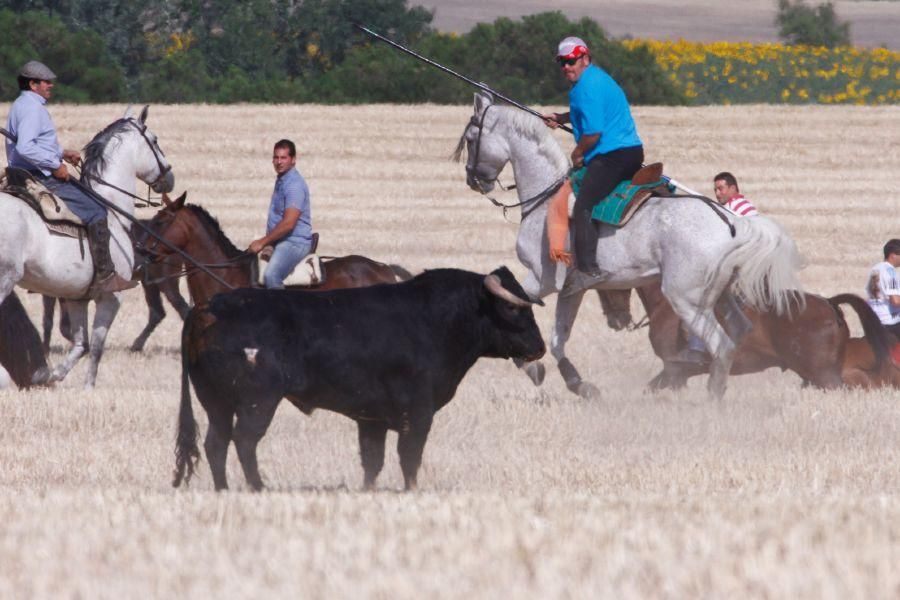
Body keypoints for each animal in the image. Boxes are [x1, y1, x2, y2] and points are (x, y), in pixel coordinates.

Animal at [0, 106, 173, 390]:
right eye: (155, 140)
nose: (169, 176)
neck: (111, 209)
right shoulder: (112, 297)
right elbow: (97, 346)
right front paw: (88, 388)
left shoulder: (76, 297)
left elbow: (81, 344)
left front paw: (53, 375)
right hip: (6, 279)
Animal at [172, 268, 544, 492]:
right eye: (513, 309)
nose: (539, 348)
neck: (438, 320)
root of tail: (209, 306)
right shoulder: (418, 413)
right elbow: (409, 455)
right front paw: (411, 491)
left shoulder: (372, 418)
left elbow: (372, 461)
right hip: (257, 402)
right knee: (245, 440)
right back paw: (259, 488)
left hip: (216, 403)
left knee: (216, 443)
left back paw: (223, 490)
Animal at [458, 94, 800, 398]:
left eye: (472, 139)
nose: (473, 181)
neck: (547, 197)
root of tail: (731, 224)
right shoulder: (572, 289)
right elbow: (558, 339)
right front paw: (580, 385)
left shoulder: (542, 279)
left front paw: (530, 366)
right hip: (721, 296)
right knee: (739, 332)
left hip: (687, 300)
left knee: (721, 346)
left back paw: (711, 400)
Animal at [596, 284, 892, 392]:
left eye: (605, 288)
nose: (617, 320)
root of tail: (829, 303)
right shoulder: (678, 373)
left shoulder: (675, 369)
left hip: (824, 376)